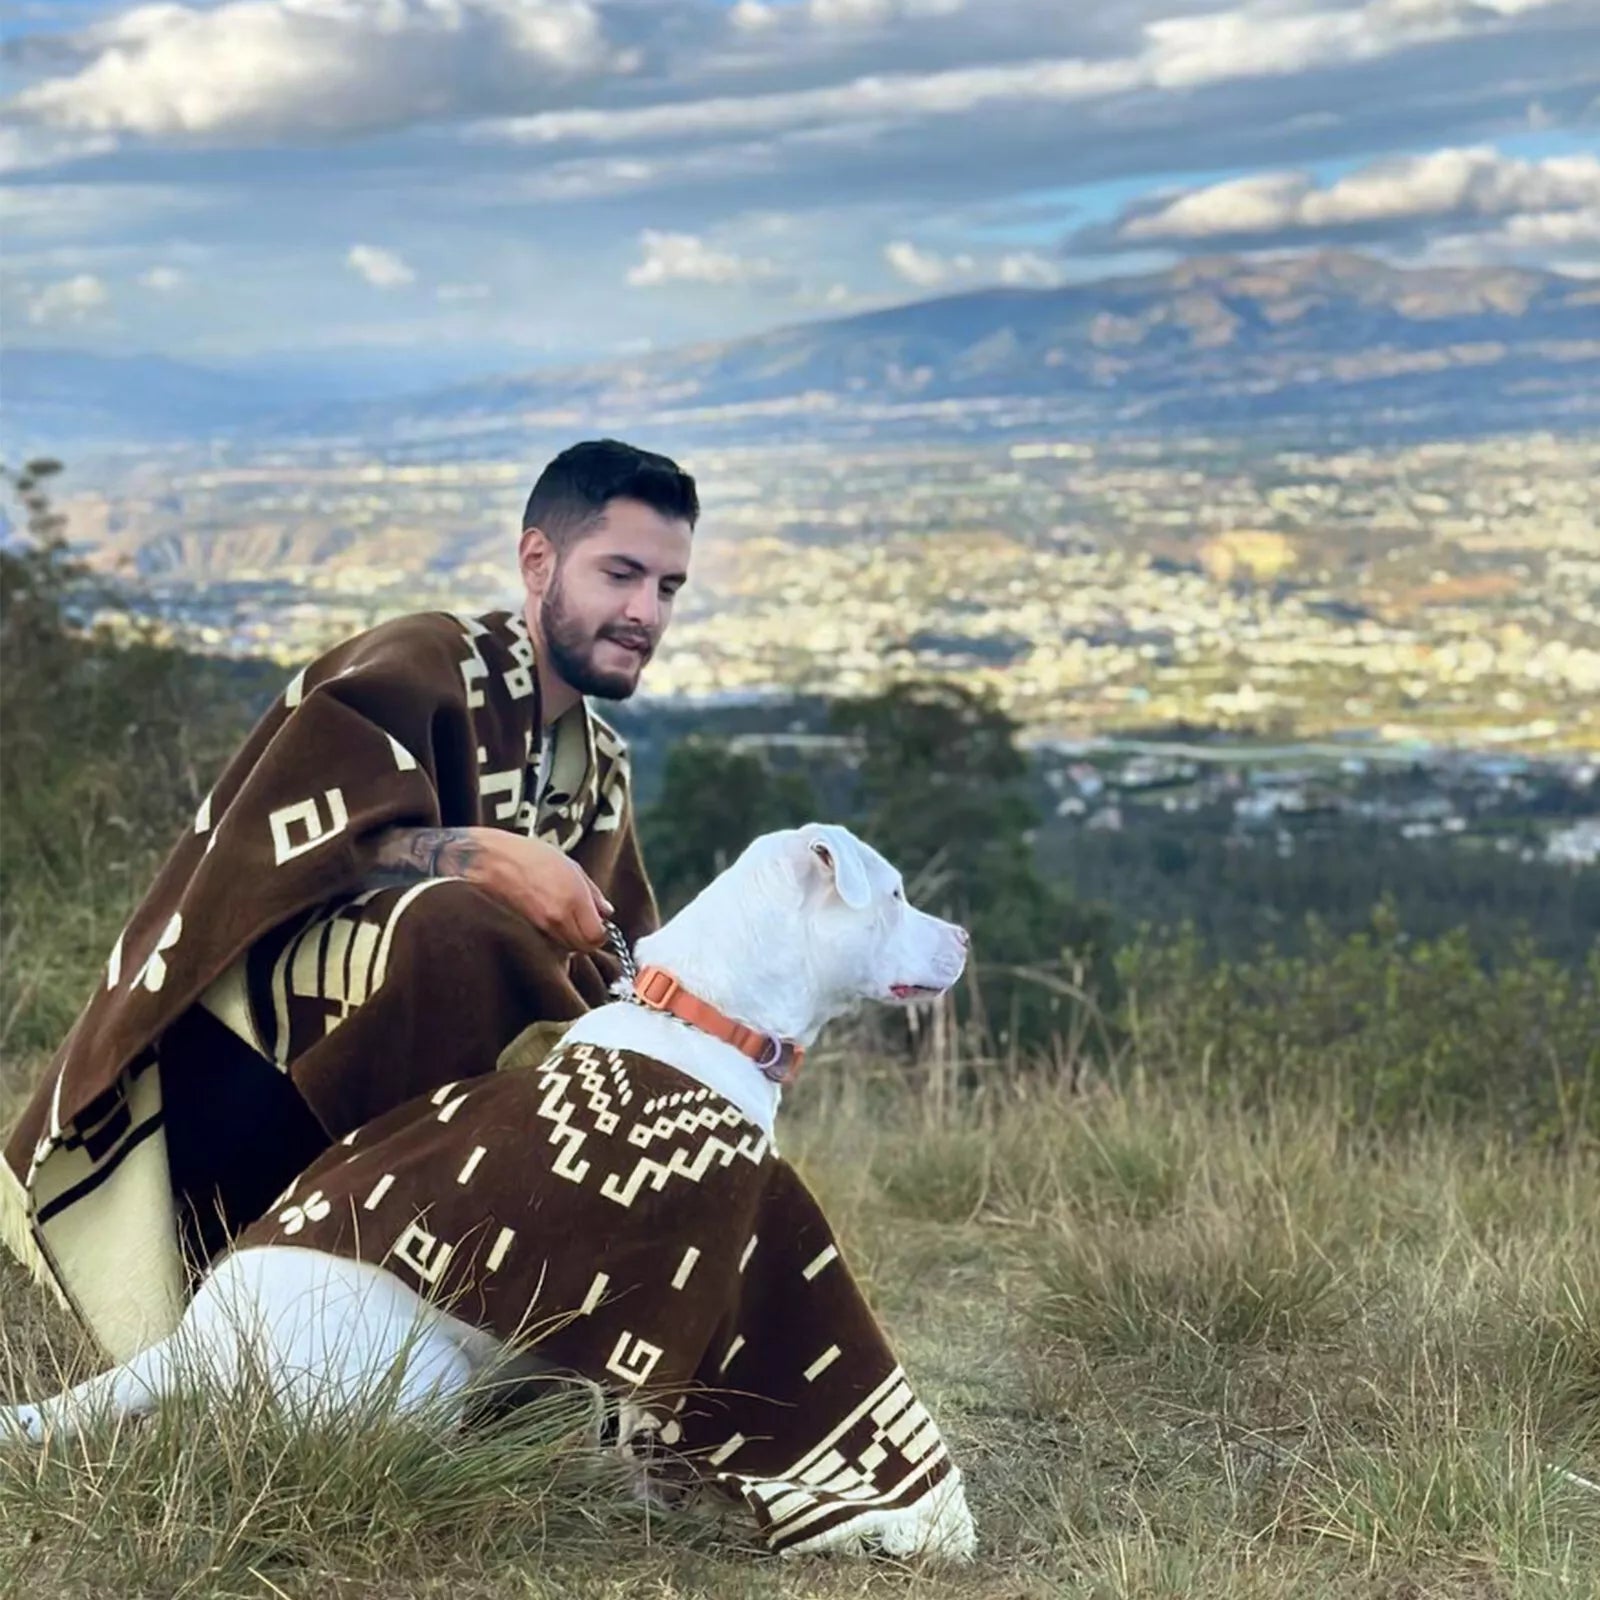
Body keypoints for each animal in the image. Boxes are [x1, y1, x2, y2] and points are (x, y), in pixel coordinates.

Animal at [3, 832, 972, 1555]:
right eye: (893, 895)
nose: (964, 937)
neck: (703, 1015)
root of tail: (195, 1343)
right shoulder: (675, 1304)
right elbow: (649, 1429)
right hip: (421, 1373)